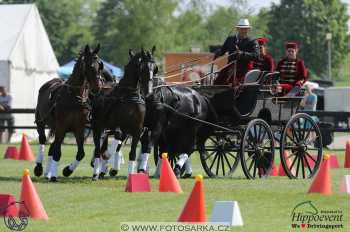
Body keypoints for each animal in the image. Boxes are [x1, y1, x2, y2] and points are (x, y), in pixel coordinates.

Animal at [33, 44, 102, 181]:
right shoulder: (61, 126)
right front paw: (54, 176)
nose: (97, 87)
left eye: (100, 65)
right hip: (41, 121)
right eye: (90, 66)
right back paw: (39, 168)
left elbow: (81, 153)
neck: (74, 97)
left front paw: (67, 171)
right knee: (43, 140)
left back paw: (48, 173)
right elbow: (57, 152)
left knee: (53, 147)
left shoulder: (79, 128)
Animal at [91, 46, 157, 179]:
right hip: (97, 126)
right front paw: (109, 164)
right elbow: (112, 148)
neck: (130, 96)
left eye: (155, 68)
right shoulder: (119, 128)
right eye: (142, 67)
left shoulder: (137, 130)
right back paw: (96, 172)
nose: (149, 92)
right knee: (98, 149)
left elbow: (132, 153)